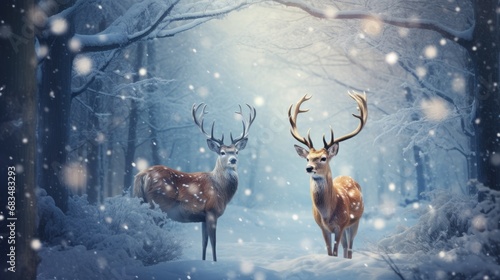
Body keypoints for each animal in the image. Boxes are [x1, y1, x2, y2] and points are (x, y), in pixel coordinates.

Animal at [133, 103, 256, 262]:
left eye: (236, 151)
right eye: (222, 152)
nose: (233, 160)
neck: (221, 189)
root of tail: (141, 175)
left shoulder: (202, 217)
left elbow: (204, 243)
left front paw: (203, 261)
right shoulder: (212, 210)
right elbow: (213, 243)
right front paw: (215, 262)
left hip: (141, 201)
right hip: (158, 205)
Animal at [290, 91, 368, 258]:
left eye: (323, 158)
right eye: (307, 158)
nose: (309, 168)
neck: (328, 214)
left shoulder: (341, 225)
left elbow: (335, 251)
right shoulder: (323, 228)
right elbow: (329, 252)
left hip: (355, 222)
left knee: (349, 248)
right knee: (346, 247)